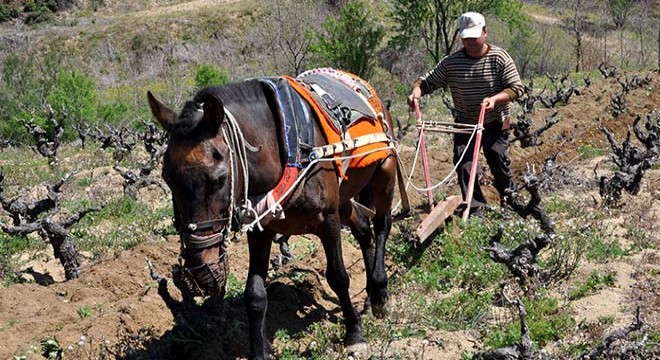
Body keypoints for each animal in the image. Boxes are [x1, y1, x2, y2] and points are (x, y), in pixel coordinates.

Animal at [148, 69, 398, 358]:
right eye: (167, 178)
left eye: (219, 179)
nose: (201, 270)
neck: (288, 152)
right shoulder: (261, 229)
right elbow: (255, 295)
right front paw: (259, 351)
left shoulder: (328, 221)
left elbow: (338, 276)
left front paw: (354, 333)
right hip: (345, 197)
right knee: (363, 230)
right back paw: (370, 297)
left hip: (384, 172)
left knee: (381, 225)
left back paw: (380, 290)